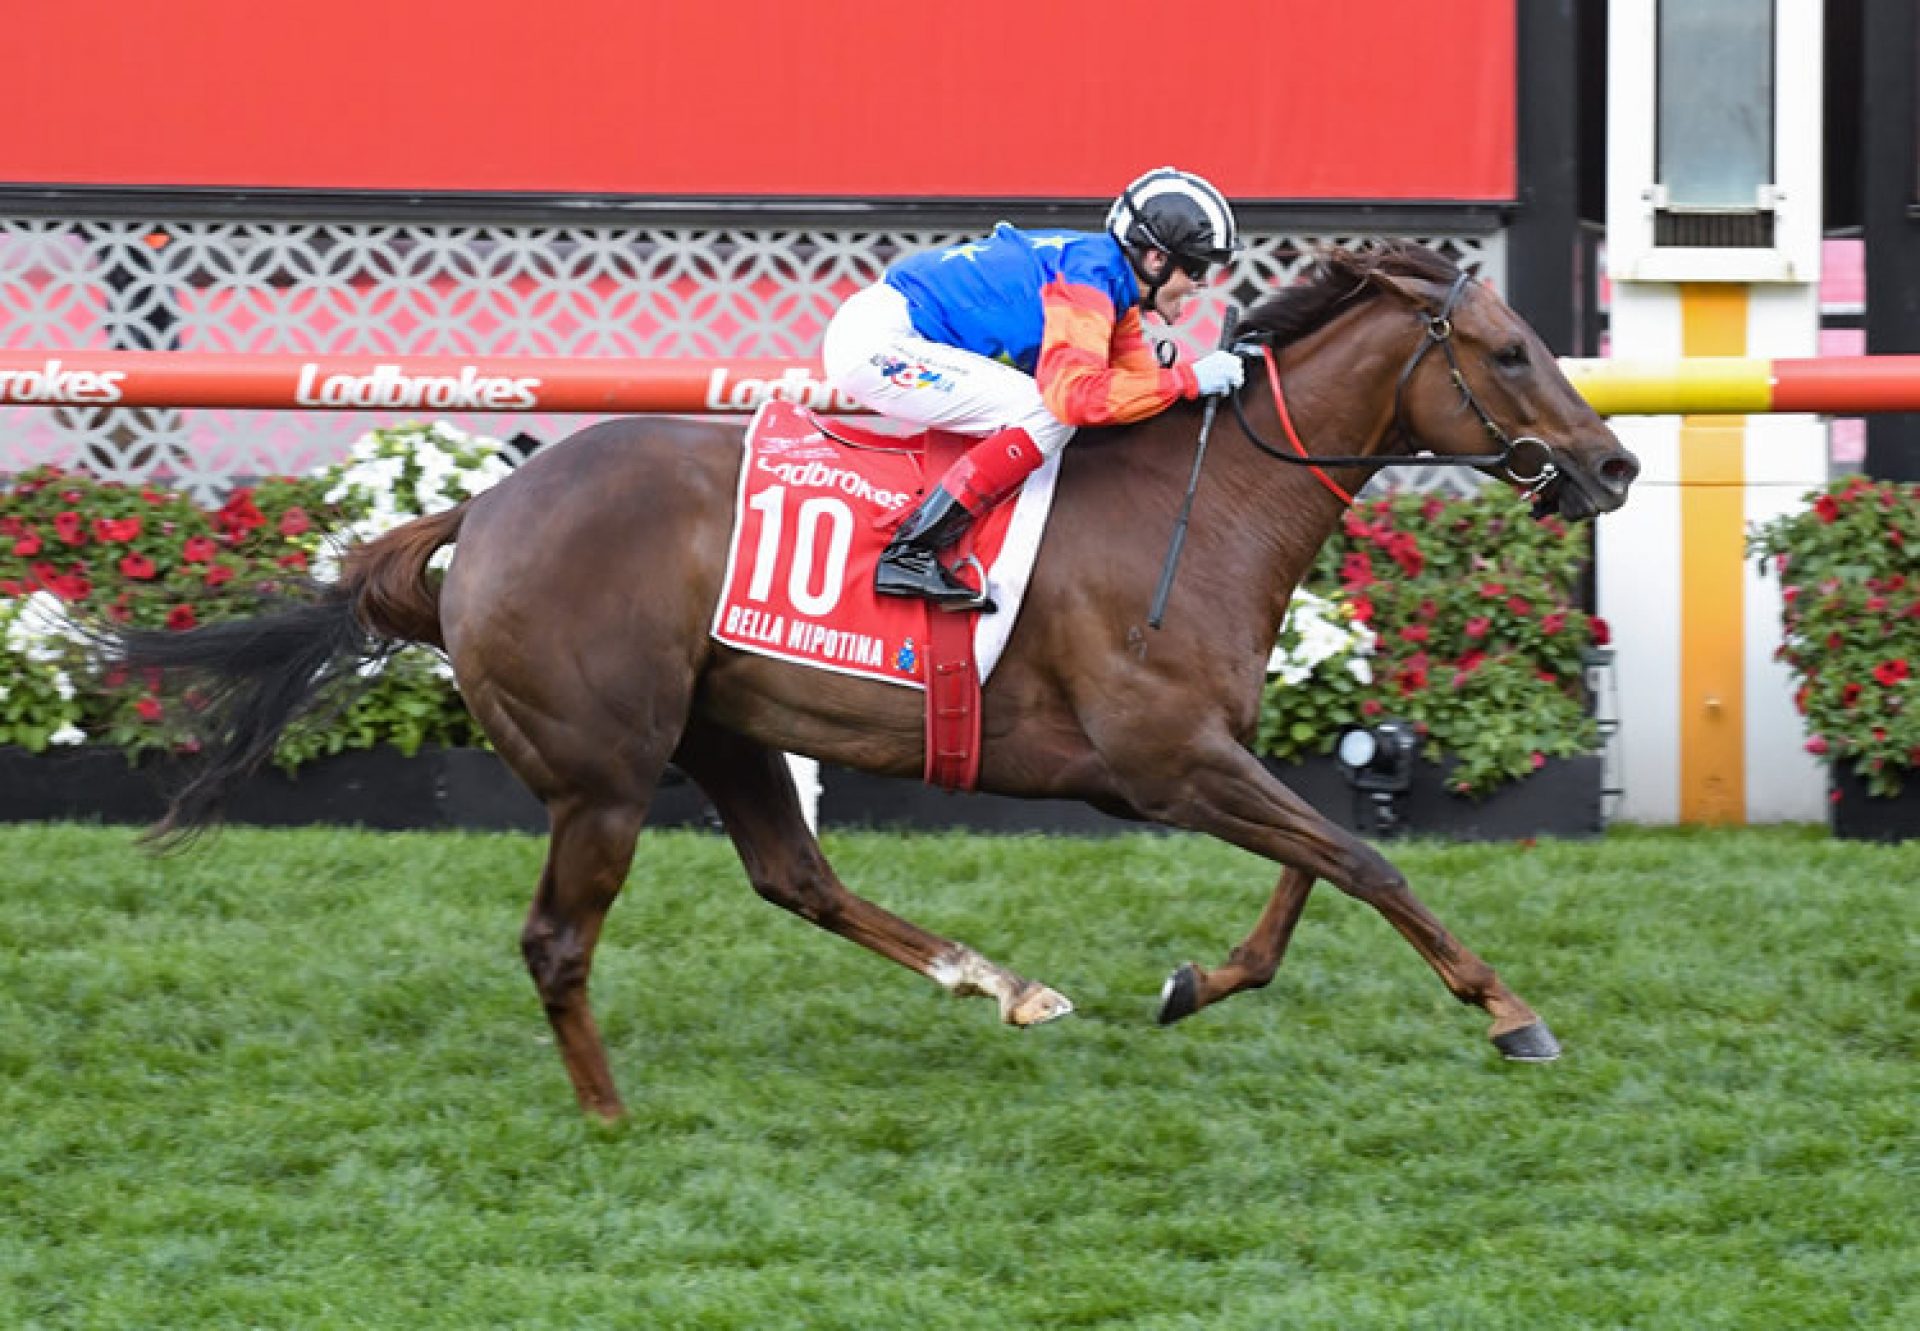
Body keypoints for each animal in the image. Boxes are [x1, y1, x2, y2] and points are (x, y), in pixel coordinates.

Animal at [116, 243, 1635, 1113]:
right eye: (1510, 352)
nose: (1614, 462)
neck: (1200, 507)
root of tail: (480, 513)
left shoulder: (1209, 752)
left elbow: (1316, 867)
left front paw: (1196, 981)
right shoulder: (1163, 763)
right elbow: (1361, 861)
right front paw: (1512, 1012)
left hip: (723, 727)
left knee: (797, 876)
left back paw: (1000, 982)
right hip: (604, 771)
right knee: (559, 941)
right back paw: (608, 1117)